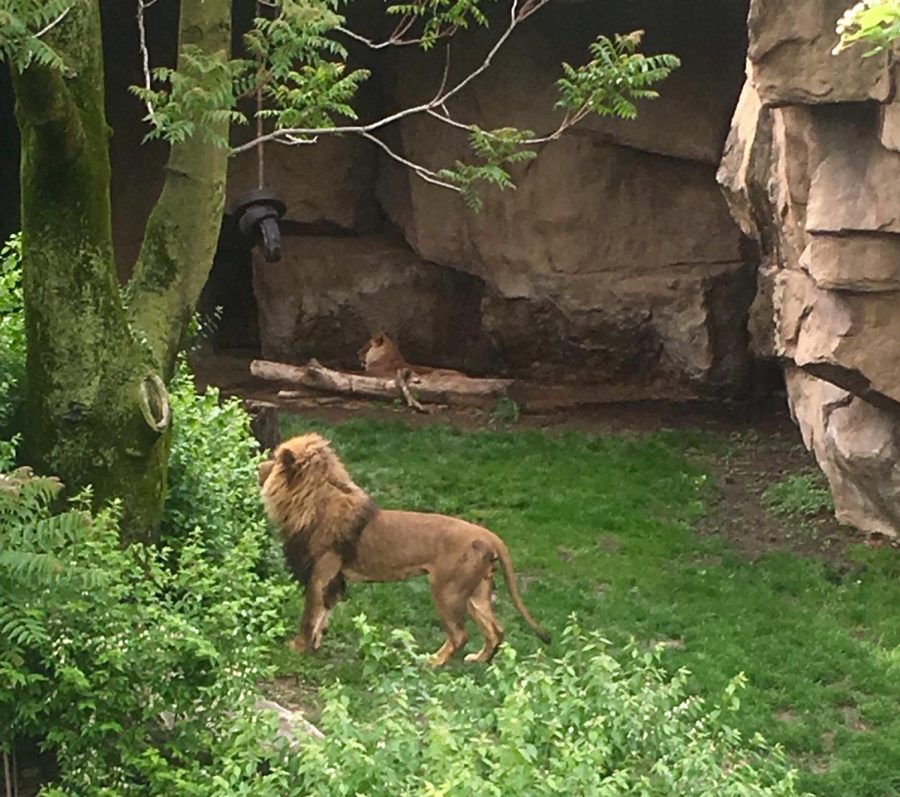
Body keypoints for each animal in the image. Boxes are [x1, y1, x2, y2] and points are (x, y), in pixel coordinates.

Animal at [255, 436, 548, 664]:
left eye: (274, 459)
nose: (258, 466)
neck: (312, 502)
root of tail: (491, 536)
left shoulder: (320, 571)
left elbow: (309, 615)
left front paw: (298, 648)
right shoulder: (334, 579)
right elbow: (322, 616)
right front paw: (315, 646)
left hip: (447, 590)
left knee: (460, 635)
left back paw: (432, 662)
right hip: (475, 593)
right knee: (496, 631)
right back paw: (479, 660)